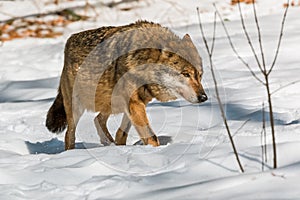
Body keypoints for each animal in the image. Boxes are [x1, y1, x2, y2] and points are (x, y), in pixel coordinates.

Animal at [45, 21, 207, 150]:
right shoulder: (133, 103)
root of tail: (69, 40)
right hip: (77, 108)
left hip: (111, 104)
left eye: (200, 75)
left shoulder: (136, 103)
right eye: (185, 74)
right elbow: (151, 136)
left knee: (98, 120)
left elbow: (121, 133)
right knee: (69, 134)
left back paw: (110, 145)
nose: (204, 97)